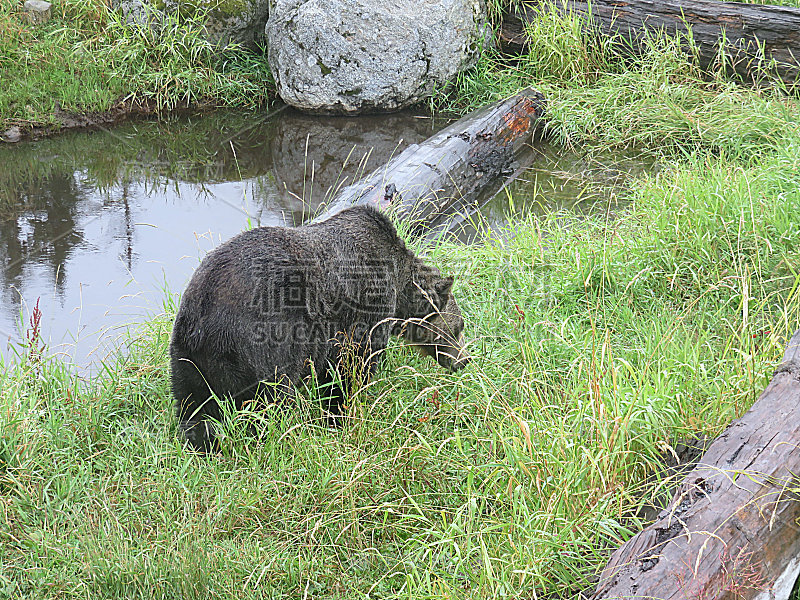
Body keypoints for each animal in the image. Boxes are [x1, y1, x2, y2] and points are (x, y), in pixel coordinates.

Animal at [170, 205, 468, 450]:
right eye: (459, 327)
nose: (463, 360)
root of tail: (205, 320)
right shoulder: (362, 313)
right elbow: (351, 369)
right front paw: (341, 412)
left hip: (189, 357)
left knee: (194, 406)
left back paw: (203, 443)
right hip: (262, 343)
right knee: (269, 399)